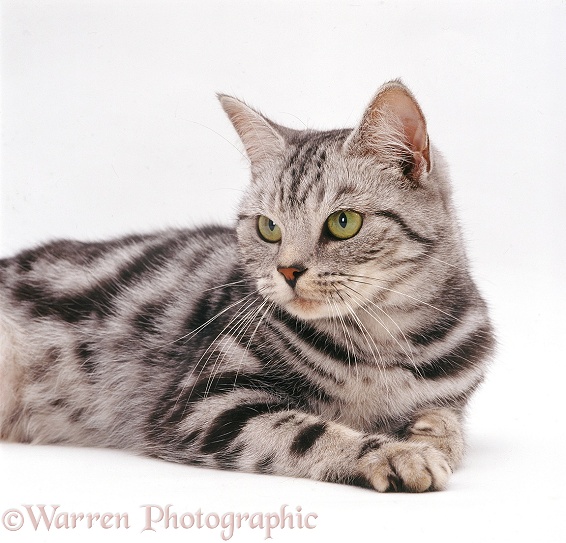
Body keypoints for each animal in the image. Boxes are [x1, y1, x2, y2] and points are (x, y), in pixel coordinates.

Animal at [0, 81, 494, 492]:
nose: (289, 271)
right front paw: (395, 453)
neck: (380, 340)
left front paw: (432, 438)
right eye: (268, 227)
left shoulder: (453, 395)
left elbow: (448, 421)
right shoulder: (206, 404)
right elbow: (308, 432)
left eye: (343, 222)